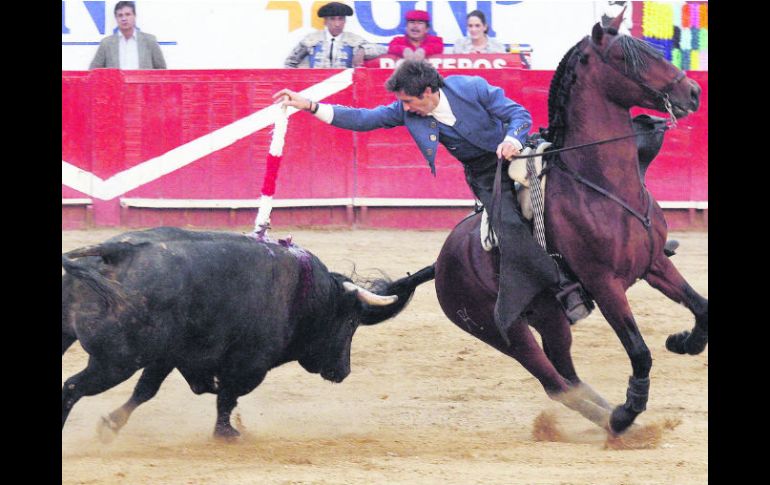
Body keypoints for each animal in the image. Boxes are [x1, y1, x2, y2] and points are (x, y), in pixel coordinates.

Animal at [63, 227, 436, 438]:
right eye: (350, 323)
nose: (343, 371)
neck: (305, 293)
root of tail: (118, 251)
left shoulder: (168, 356)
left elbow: (146, 391)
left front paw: (111, 424)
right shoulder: (250, 365)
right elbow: (227, 397)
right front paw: (228, 433)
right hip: (116, 361)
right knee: (72, 387)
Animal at [432, 12, 704, 434]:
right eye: (627, 59)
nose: (692, 92)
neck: (605, 186)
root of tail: (440, 261)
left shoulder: (654, 263)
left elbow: (702, 308)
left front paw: (682, 342)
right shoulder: (603, 283)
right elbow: (639, 351)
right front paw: (629, 408)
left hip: (550, 318)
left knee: (568, 376)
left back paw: (615, 418)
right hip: (502, 331)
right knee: (555, 384)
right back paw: (617, 421)